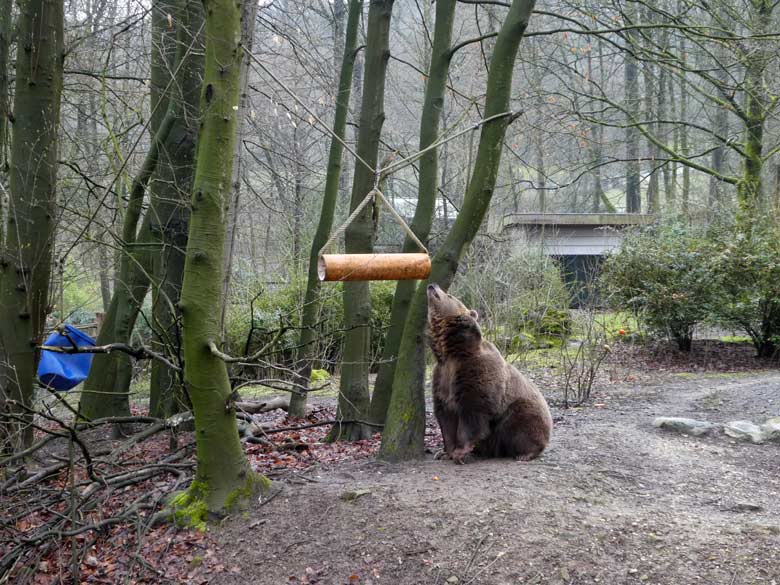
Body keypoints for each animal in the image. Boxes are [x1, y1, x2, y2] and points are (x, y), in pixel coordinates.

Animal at [430, 280, 552, 464]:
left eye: (449, 295)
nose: (432, 285)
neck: (452, 351)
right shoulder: (442, 377)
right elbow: (446, 417)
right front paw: (445, 452)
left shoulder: (476, 372)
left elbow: (473, 413)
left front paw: (460, 452)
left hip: (520, 411)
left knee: (521, 426)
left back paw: (525, 453)